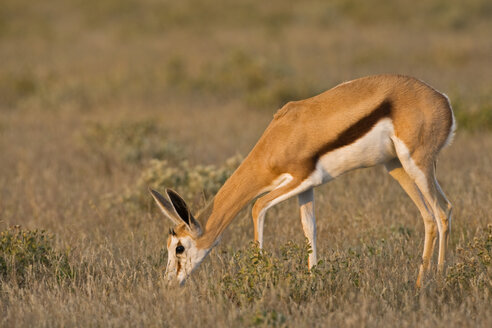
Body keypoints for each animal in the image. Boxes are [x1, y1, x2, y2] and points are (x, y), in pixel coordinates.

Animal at [149, 75, 454, 288]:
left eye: (179, 247)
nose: (169, 283)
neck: (279, 138)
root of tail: (443, 99)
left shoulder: (300, 179)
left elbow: (256, 207)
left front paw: (256, 276)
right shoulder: (306, 189)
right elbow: (310, 230)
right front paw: (312, 280)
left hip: (416, 164)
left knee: (439, 211)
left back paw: (437, 280)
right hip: (397, 166)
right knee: (434, 213)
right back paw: (423, 281)